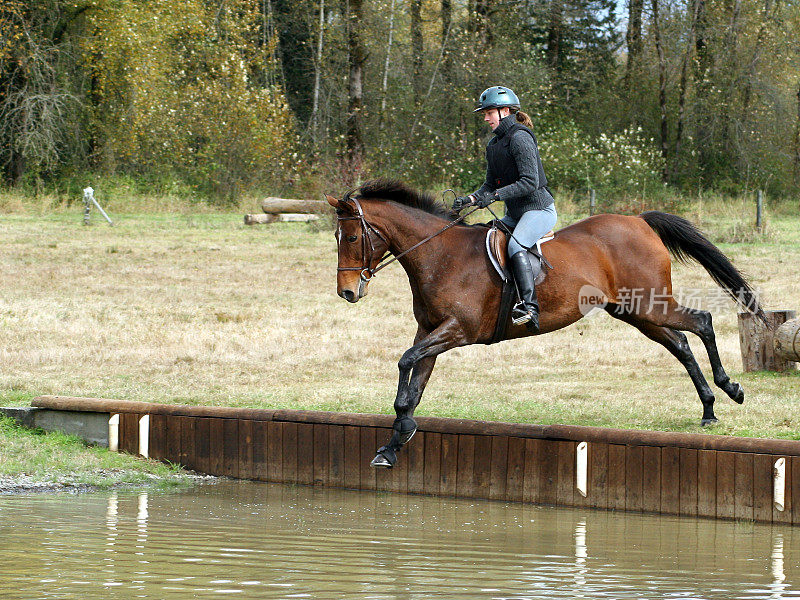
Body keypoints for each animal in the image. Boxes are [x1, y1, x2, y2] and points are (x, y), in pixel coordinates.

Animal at [324, 178, 764, 468]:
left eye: (352, 238)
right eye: (337, 237)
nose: (347, 292)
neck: (438, 255)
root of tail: (638, 221)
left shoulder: (456, 331)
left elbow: (406, 362)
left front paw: (401, 431)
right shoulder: (430, 330)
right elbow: (413, 381)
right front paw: (394, 443)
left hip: (648, 304)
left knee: (702, 321)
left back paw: (730, 389)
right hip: (633, 310)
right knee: (680, 343)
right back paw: (708, 408)